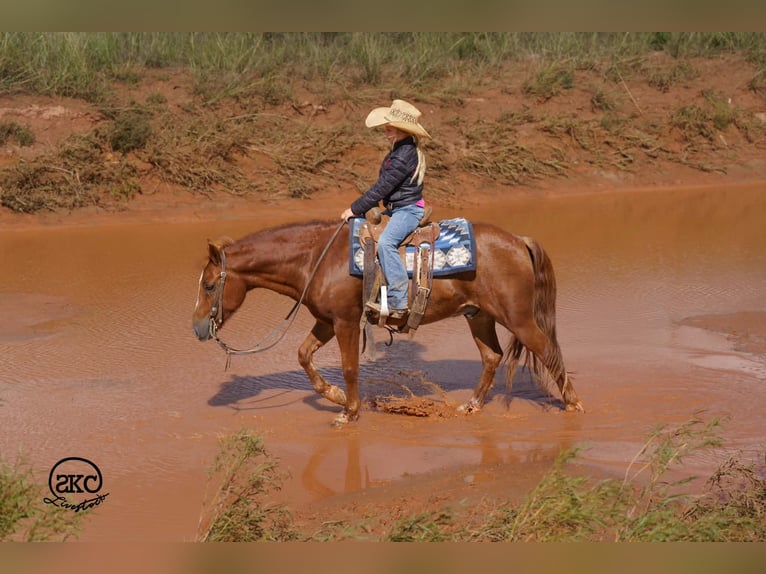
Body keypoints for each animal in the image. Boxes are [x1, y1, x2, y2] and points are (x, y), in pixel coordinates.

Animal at [192, 218, 584, 425]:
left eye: (210, 285)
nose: (197, 327)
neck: (317, 259)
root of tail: (518, 240)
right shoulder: (326, 320)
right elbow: (303, 356)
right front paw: (334, 395)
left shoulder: (346, 322)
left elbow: (350, 367)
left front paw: (348, 412)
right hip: (479, 315)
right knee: (492, 356)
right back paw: (471, 404)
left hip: (518, 318)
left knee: (547, 350)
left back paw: (573, 404)